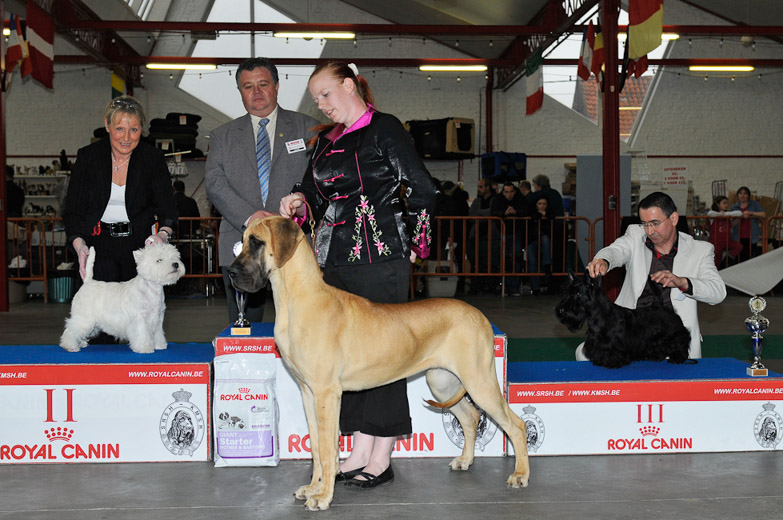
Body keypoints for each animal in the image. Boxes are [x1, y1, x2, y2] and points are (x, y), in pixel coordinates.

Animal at [228, 216, 532, 512]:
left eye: (256, 242)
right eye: (243, 240)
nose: (230, 272)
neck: (297, 299)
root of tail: (480, 316)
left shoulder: (327, 393)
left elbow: (327, 449)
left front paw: (324, 496)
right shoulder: (308, 392)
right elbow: (315, 445)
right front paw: (314, 488)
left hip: (479, 381)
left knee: (515, 425)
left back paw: (520, 475)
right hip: (442, 382)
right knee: (470, 417)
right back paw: (465, 460)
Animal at [556, 272, 692, 370]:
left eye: (578, 294)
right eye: (566, 292)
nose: (561, 311)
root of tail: (661, 306)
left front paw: (611, 363)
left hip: (675, 335)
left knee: (680, 344)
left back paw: (677, 358)